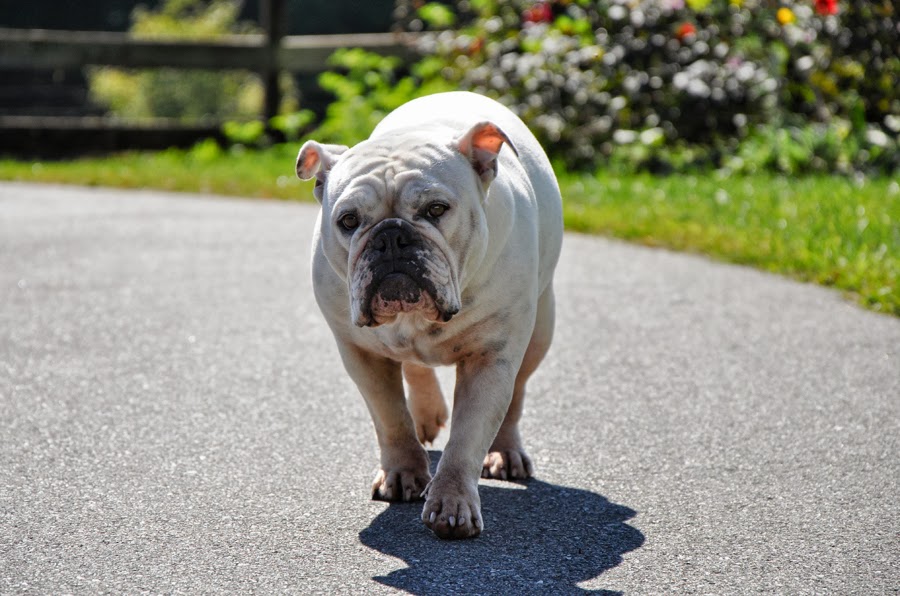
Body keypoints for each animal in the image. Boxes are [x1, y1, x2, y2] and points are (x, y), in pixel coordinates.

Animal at [296, 91, 563, 539]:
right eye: (348, 221)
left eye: (437, 209)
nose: (390, 236)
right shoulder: (360, 353)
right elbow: (390, 417)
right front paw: (403, 473)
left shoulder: (491, 358)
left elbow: (466, 439)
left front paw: (451, 504)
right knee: (414, 366)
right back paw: (427, 414)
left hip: (540, 329)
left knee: (517, 393)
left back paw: (505, 452)